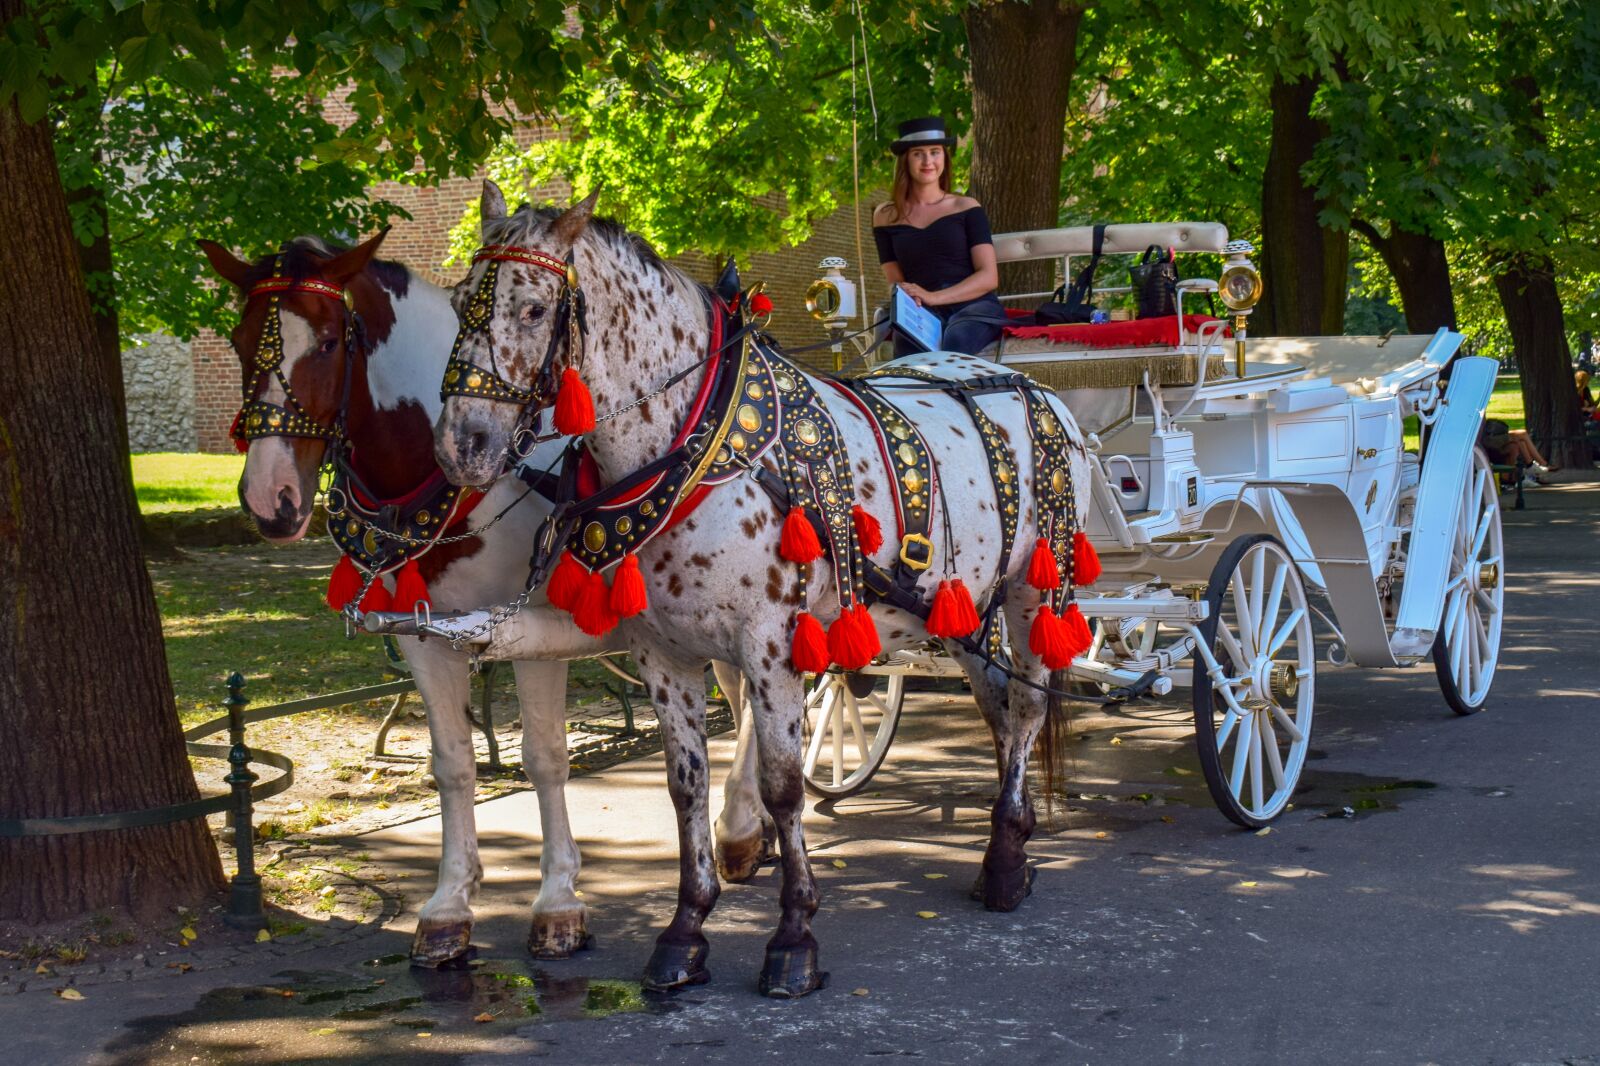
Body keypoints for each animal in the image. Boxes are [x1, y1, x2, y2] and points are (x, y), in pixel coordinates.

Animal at [198, 232, 772, 967]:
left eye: (327, 342)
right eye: (240, 341)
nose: (271, 498)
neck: (461, 483)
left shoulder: (532, 636)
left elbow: (545, 757)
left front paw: (558, 902)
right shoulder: (424, 637)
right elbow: (452, 765)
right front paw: (449, 904)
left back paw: (741, 822)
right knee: (740, 697)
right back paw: (746, 824)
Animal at [431, 182, 1097, 997]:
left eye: (531, 309)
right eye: (459, 299)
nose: (461, 446)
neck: (696, 442)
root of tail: (1034, 389)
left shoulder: (772, 644)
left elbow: (784, 786)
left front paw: (793, 936)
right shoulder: (662, 652)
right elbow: (684, 784)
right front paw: (685, 930)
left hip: (1037, 589)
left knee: (1029, 706)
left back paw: (1004, 862)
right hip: (963, 604)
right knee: (1001, 711)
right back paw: (1011, 843)